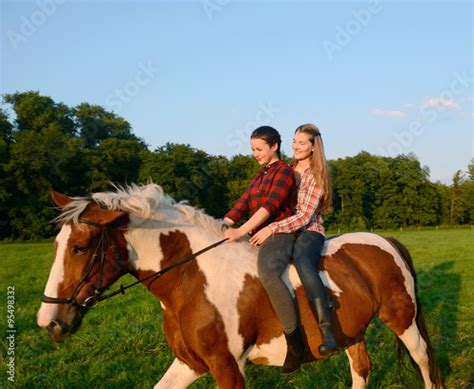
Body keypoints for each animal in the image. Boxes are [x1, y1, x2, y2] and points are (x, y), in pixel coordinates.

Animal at [38, 183, 444, 386]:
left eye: (80, 247)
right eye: (56, 245)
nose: (49, 322)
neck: (191, 279)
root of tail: (386, 240)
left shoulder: (228, 366)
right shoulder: (190, 363)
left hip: (402, 320)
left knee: (424, 362)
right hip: (351, 331)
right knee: (361, 369)